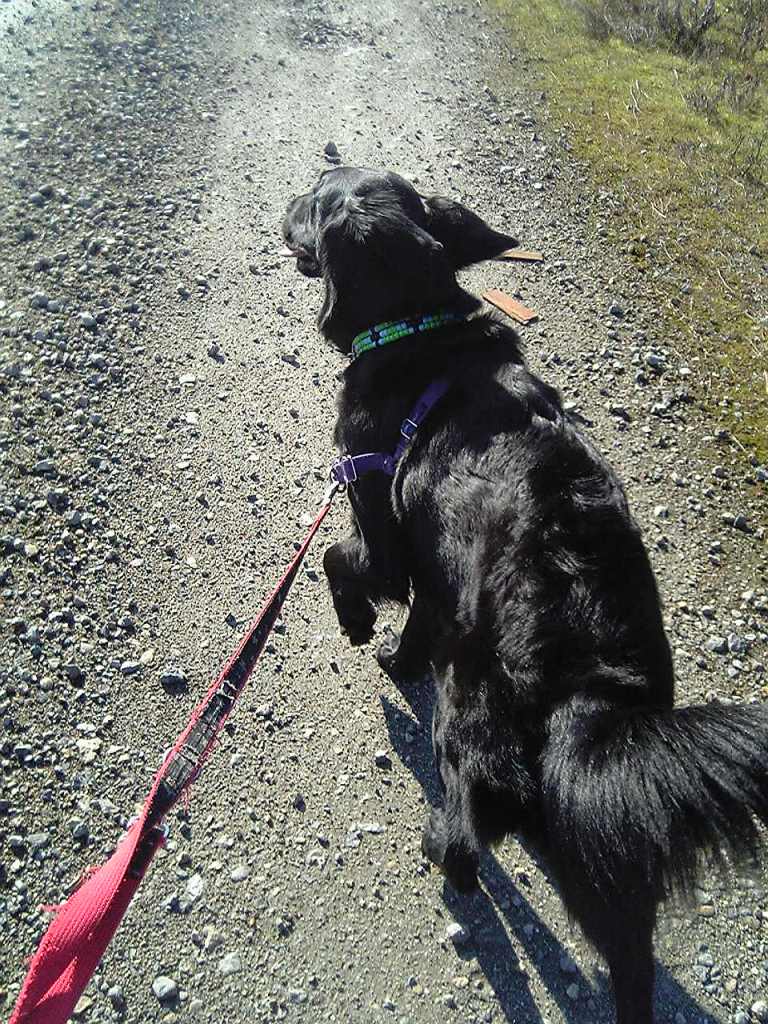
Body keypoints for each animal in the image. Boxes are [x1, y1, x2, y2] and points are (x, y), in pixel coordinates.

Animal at [281, 166, 768, 1024]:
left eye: (316, 195)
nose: (287, 206)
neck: (418, 329)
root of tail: (587, 695)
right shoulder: (442, 578)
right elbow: (419, 630)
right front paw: (396, 659)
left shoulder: (383, 531)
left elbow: (340, 561)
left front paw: (359, 629)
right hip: (608, 845)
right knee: (630, 959)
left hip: (470, 720)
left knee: (466, 836)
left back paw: (440, 852)